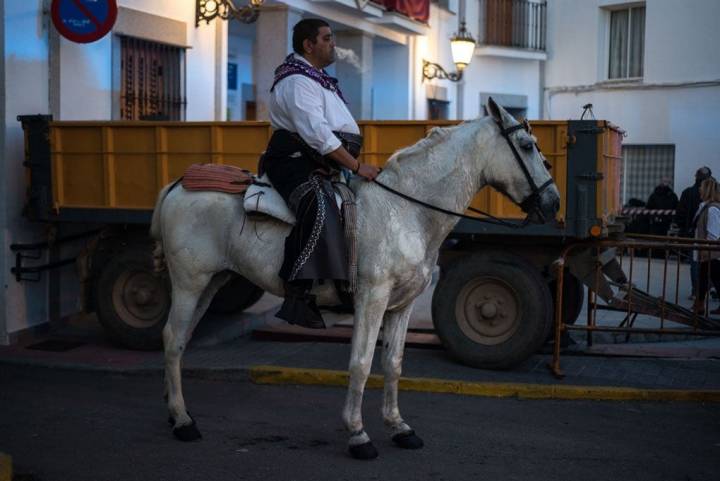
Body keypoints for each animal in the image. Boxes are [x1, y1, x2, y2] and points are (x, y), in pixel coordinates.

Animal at [149, 97, 560, 458]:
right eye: (526, 145)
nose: (553, 202)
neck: (405, 210)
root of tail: (178, 185)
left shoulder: (402, 305)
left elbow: (393, 363)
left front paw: (399, 427)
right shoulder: (371, 299)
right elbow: (360, 364)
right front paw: (358, 434)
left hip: (212, 282)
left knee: (183, 338)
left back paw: (174, 411)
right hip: (189, 282)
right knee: (171, 337)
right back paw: (183, 421)